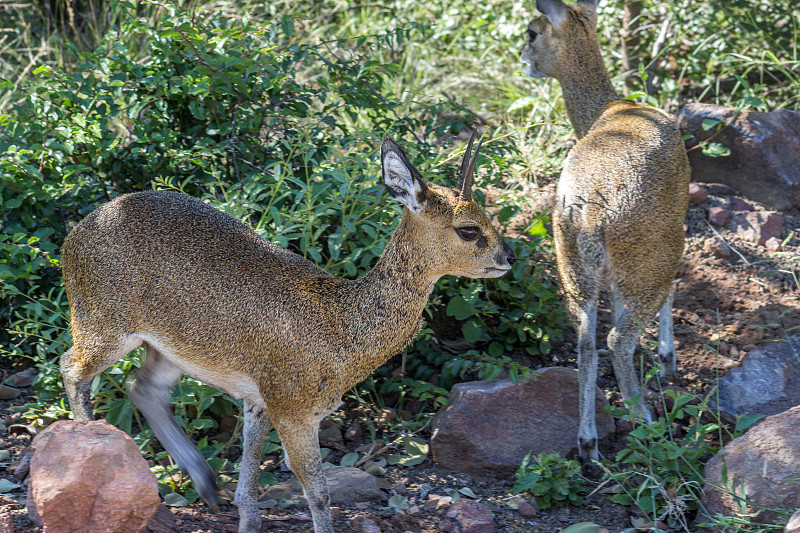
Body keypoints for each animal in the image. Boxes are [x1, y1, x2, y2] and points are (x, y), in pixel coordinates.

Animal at [59, 134, 516, 532]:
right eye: (468, 229)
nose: (509, 257)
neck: (342, 326)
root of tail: (76, 233)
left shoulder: (260, 401)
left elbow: (250, 483)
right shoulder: (295, 413)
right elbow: (318, 493)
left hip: (168, 350)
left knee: (143, 388)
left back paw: (206, 485)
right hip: (104, 328)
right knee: (72, 368)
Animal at [520, 0, 692, 460]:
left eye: (531, 32)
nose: (523, 59)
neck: (610, 109)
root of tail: (592, 218)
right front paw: (667, 358)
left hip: (572, 270)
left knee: (585, 341)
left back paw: (588, 443)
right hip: (648, 264)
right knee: (618, 338)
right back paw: (645, 419)